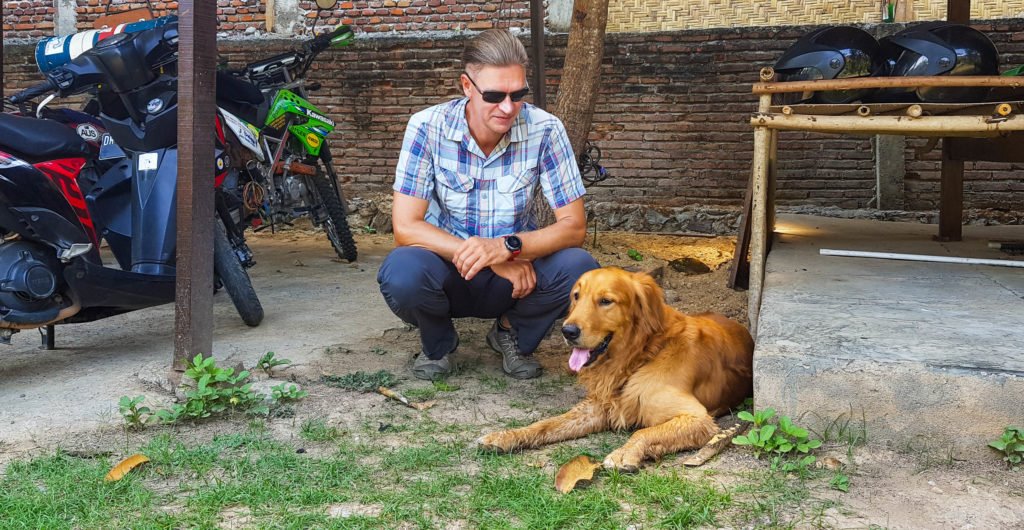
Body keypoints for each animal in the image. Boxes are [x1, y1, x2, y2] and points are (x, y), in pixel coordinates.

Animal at [477, 267, 754, 471]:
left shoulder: (698, 419)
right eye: (576, 296)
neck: (641, 356)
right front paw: (506, 436)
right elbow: (547, 424)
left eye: (606, 301)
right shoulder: (597, 407)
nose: (568, 331)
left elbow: (644, 431)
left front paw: (624, 454)